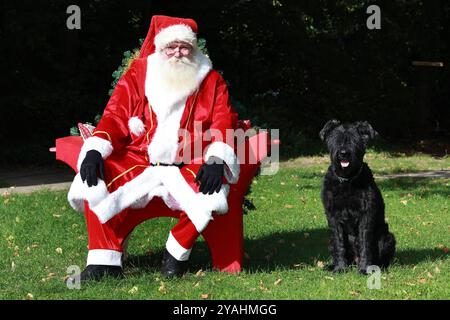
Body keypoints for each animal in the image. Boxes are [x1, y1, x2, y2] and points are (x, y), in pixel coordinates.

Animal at [318, 119, 396, 274]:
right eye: (336, 139)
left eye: (354, 140)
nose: (343, 153)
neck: (347, 180)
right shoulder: (333, 215)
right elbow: (339, 243)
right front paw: (340, 268)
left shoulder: (366, 214)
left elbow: (364, 242)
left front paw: (364, 268)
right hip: (329, 241)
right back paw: (333, 265)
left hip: (387, 238)